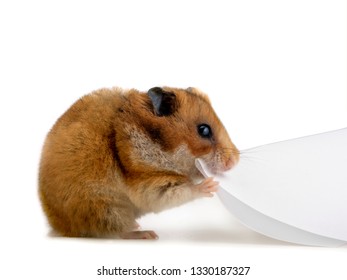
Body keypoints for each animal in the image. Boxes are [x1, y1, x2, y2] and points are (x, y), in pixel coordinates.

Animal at [38, 86, 239, 240]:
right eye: (204, 130)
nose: (234, 162)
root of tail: (58, 225)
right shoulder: (147, 184)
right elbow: (181, 191)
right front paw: (209, 185)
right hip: (105, 209)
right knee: (117, 231)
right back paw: (146, 234)